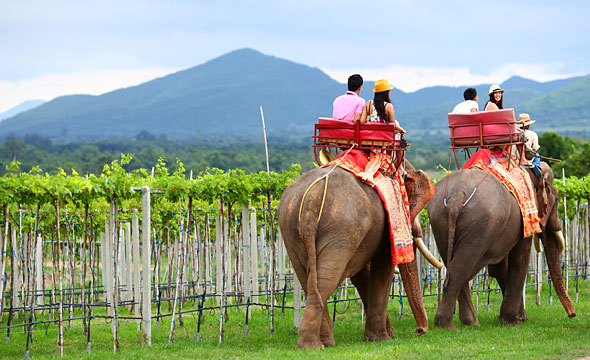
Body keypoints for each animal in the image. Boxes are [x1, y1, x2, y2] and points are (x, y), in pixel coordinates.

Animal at [278, 160, 440, 348]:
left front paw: (386, 334)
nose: (419, 331)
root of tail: (312, 198)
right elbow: (383, 269)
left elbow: (361, 276)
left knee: (310, 281)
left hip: (291, 229)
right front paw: (382, 339)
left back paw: (324, 343)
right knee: (325, 280)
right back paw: (313, 346)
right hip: (341, 229)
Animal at [428, 162, 580, 330]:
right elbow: (519, 260)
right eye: (557, 198)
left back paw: (469, 323)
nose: (572, 315)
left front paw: (520, 317)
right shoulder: (524, 218)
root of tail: (456, 197)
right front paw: (514, 321)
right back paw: (447, 325)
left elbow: (499, 268)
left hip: (440, 221)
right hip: (481, 224)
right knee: (461, 268)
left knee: (452, 264)